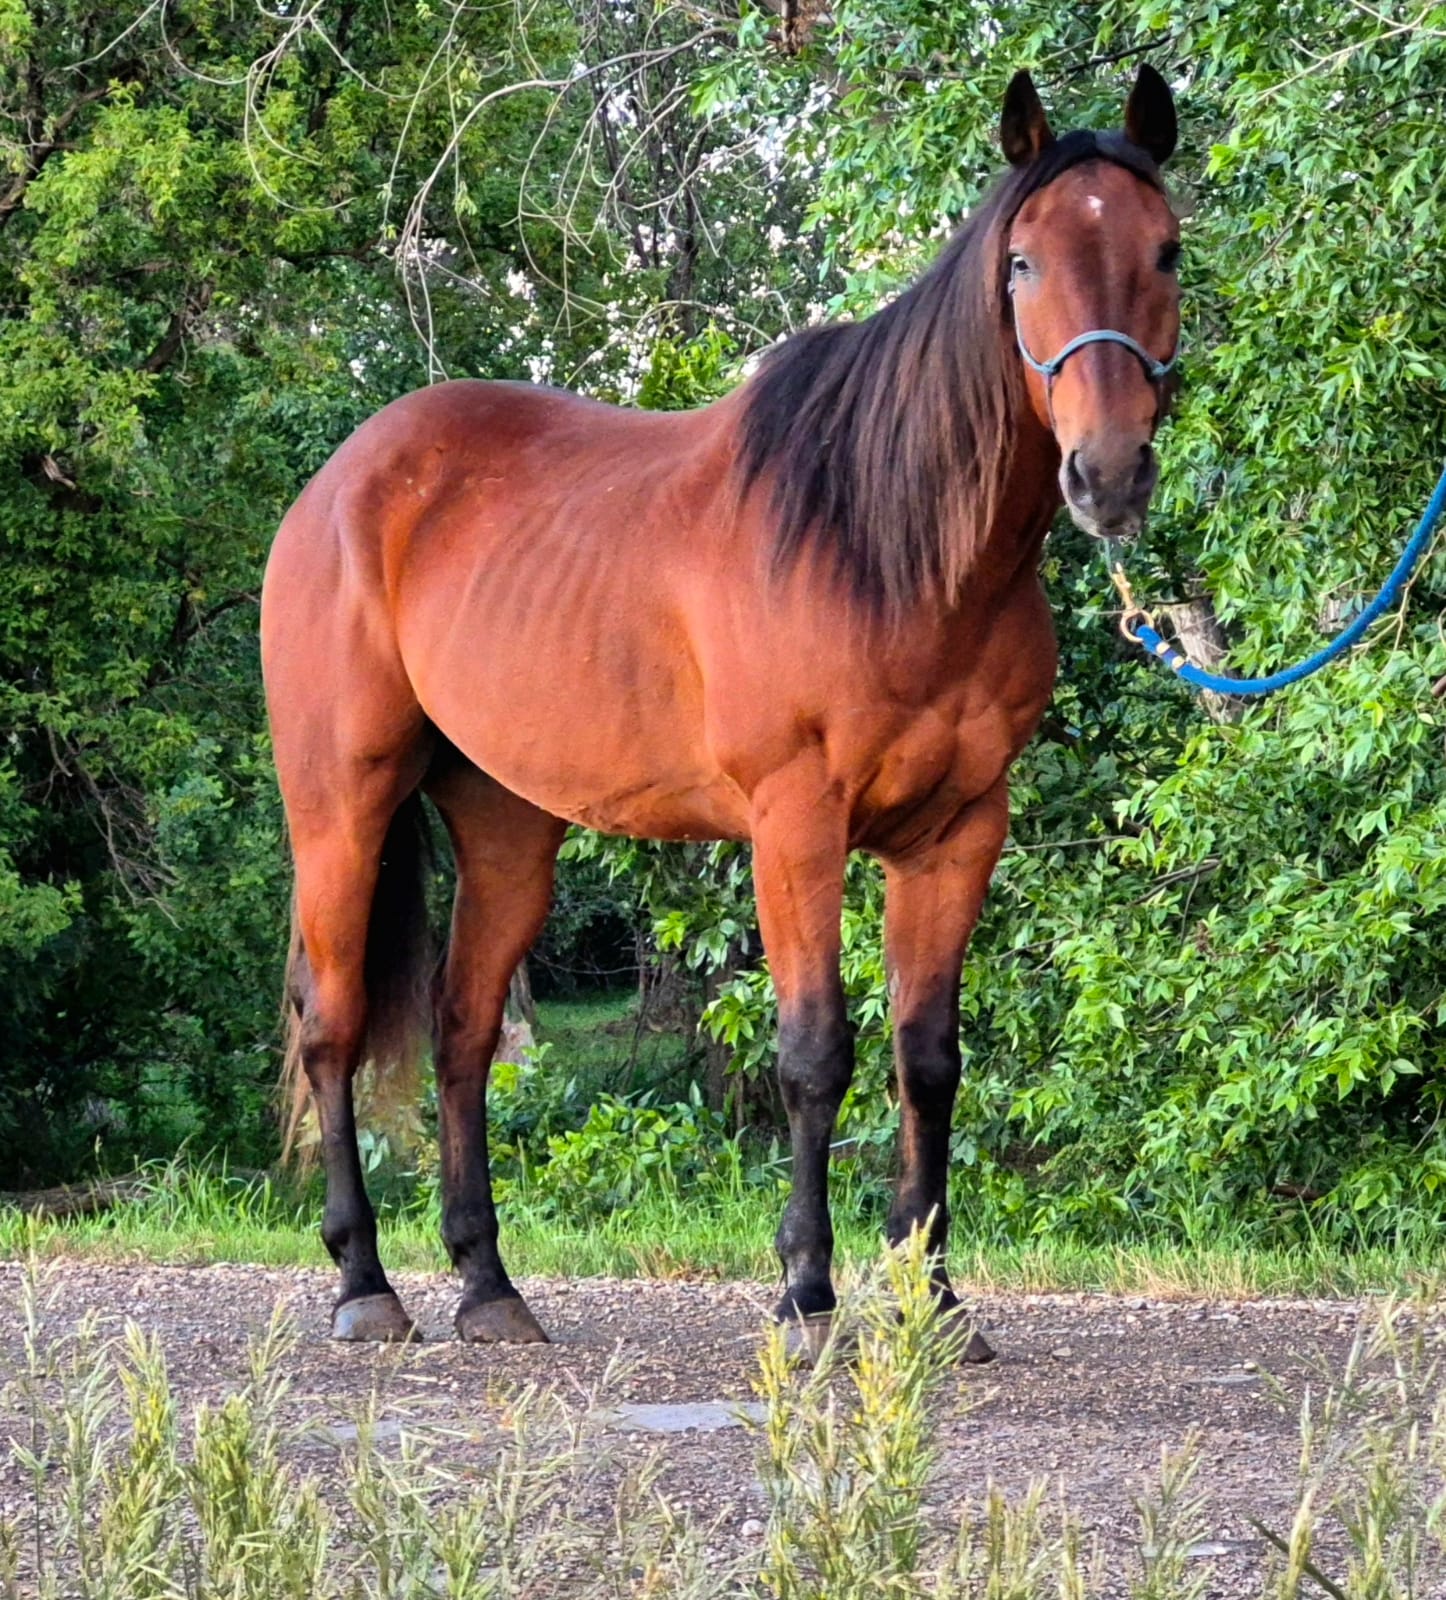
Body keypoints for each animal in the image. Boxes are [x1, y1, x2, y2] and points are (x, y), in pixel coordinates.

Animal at [261, 65, 1182, 1356]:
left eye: (1166, 250)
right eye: (1022, 263)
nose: (1108, 474)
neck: (884, 541)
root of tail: (341, 482)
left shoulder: (958, 833)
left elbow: (927, 1059)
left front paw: (935, 1303)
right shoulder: (796, 823)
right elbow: (814, 1054)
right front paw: (806, 1294)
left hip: (505, 824)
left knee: (462, 1031)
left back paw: (488, 1285)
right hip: (343, 803)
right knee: (333, 1024)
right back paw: (364, 1282)